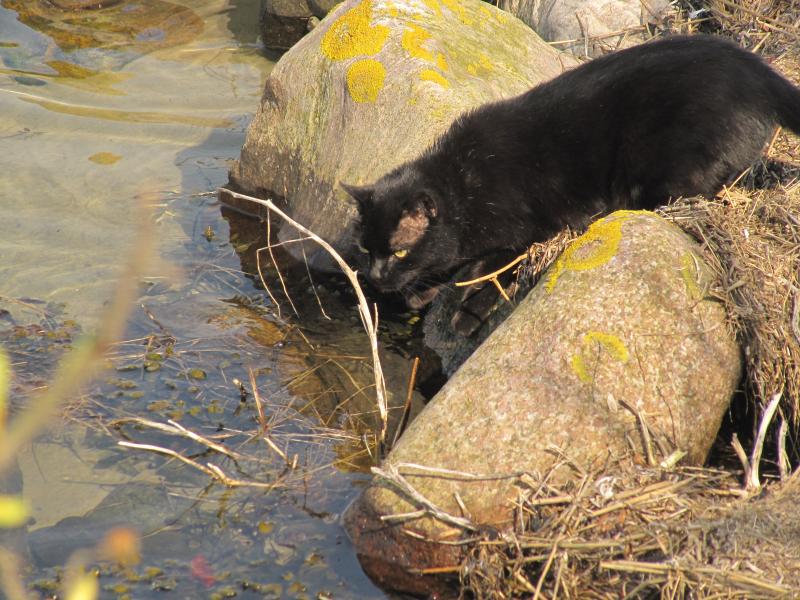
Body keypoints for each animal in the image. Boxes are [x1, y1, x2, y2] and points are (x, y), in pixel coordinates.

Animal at [342, 35, 800, 336]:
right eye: (367, 249)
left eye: (399, 251)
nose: (375, 277)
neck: (462, 183)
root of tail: (758, 71)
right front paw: (423, 291)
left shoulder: (527, 229)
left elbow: (486, 269)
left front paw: (462, 310)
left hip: (662, 160)